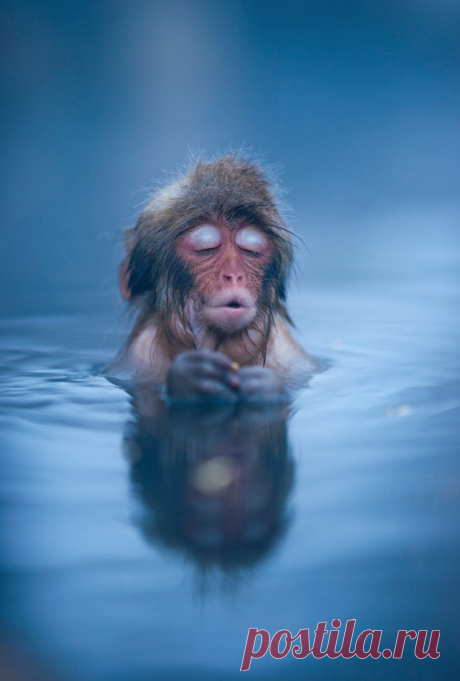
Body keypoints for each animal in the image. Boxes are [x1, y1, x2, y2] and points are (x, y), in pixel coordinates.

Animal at [108, 155, 316, 398]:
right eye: (206, 248)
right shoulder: (137, 358)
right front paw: (190, 377)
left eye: (251, 251)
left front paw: (264, 386)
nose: (234, 275)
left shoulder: (290, 356)